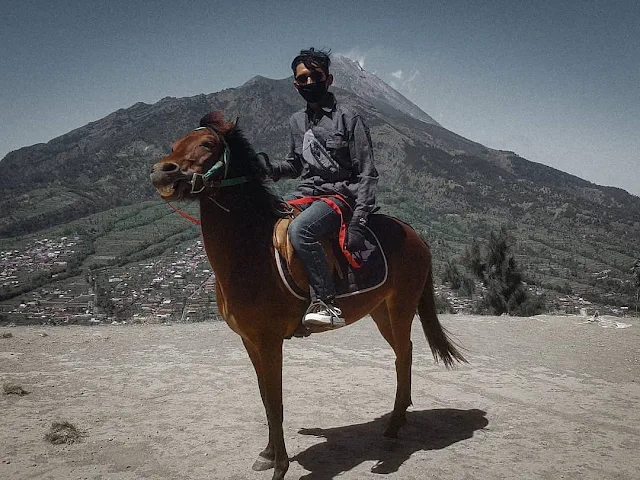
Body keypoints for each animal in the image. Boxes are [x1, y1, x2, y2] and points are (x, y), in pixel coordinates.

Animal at [152, 111, 468, 480]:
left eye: (207, 144)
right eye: (175, 143)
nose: (162, 171)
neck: (252, 252)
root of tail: (415, 234)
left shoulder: (270, 340)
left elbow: (276, 403)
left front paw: (280, 467)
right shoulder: (250, 340)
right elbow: (265, 398)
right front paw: (267, 454)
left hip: (402, 305)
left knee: (404, 354)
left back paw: (392, 428)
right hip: (381, 311)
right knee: (403, 352)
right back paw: (398, 421)